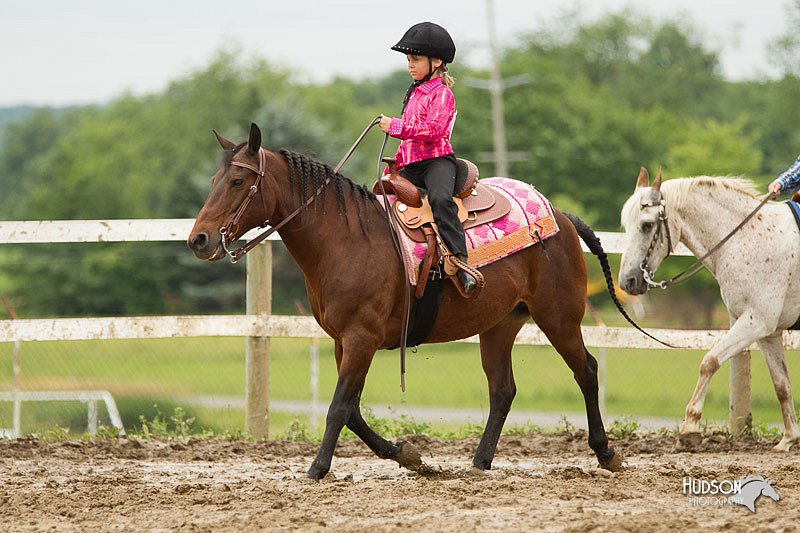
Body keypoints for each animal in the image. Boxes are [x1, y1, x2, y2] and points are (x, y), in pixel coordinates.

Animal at [189, 123, 624, 478]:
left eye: (238, 181)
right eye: (213, 179)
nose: (199, 240)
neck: (347, 240)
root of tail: (561, 216)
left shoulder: (361, 339)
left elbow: (338, 407)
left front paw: (317, 468)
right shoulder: (342, 341)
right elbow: (353, 410)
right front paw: (407, 455)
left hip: (558, 317)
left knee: (586, 370)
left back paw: (606, 453)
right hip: (500, 325)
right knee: (503, 390)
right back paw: (480, 461)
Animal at [620, 166, 800, 448]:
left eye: (647, 225)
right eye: (625, 225)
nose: (627, 281)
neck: (750, 237)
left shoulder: (755, 321)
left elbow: (710, 361)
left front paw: (689, 427)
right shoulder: (769, 332)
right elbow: (782, 385)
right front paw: (789, 439)